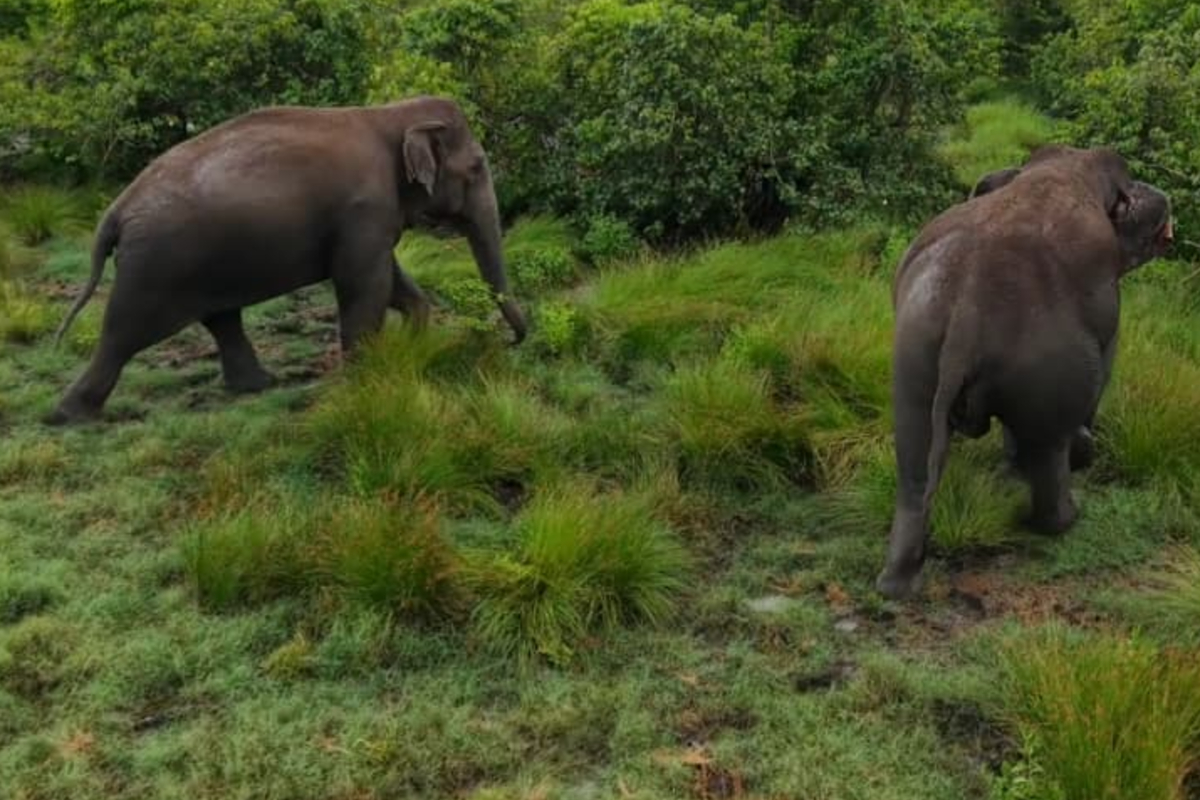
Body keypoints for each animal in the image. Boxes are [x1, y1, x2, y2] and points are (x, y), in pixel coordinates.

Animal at [47, 95, 525, 425]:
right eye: (477, 168)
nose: (512, 341)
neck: (390, 113)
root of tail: (117, 209)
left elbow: (388, 278)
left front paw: (414, 340)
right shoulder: (363, 210)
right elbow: (363, 284)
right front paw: (366, 380)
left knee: (222, 318)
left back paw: (259, 385)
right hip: (157, 266)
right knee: (123, 333)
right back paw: (69, 416)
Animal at [876, 145, 1174, 600]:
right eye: (1129, 186)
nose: (1160, 195)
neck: (1060, 168)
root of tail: (966, 312)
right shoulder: (1109, 309)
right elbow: (1103, 368)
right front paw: (1082, 448)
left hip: (914, 351)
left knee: (914, 459)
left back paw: (896, 585)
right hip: (1049, 361)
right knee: (1050, 443)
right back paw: (1065, 513)